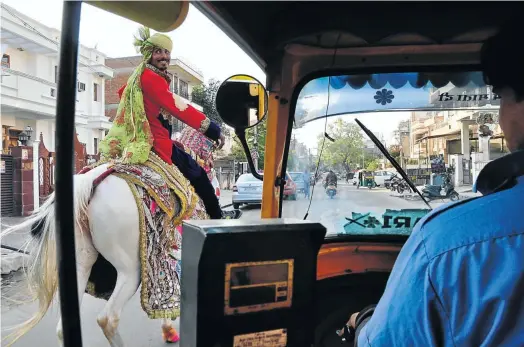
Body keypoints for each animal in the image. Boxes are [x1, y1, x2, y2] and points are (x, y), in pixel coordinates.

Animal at [2, 164, 184, 347]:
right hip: (132, 269)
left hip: (81, 262)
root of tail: (89, 181)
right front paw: (170, 327)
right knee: (108, 319)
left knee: (63, 327)